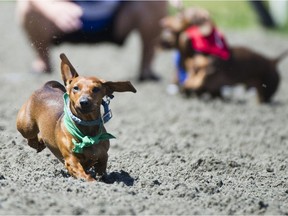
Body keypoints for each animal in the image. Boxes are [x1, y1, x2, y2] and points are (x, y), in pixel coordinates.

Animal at [16, 53, 137, 181]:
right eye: (76, 87)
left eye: (96, 89)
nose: (84, 102)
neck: (87, 132)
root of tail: (46, 86)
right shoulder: (71, 160)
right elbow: (84, 175)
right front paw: (94, 182)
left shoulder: (103, 155)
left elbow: (102, 167)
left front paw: (103, 179)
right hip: (26, 126)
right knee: (31, 138)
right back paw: (38, 143)